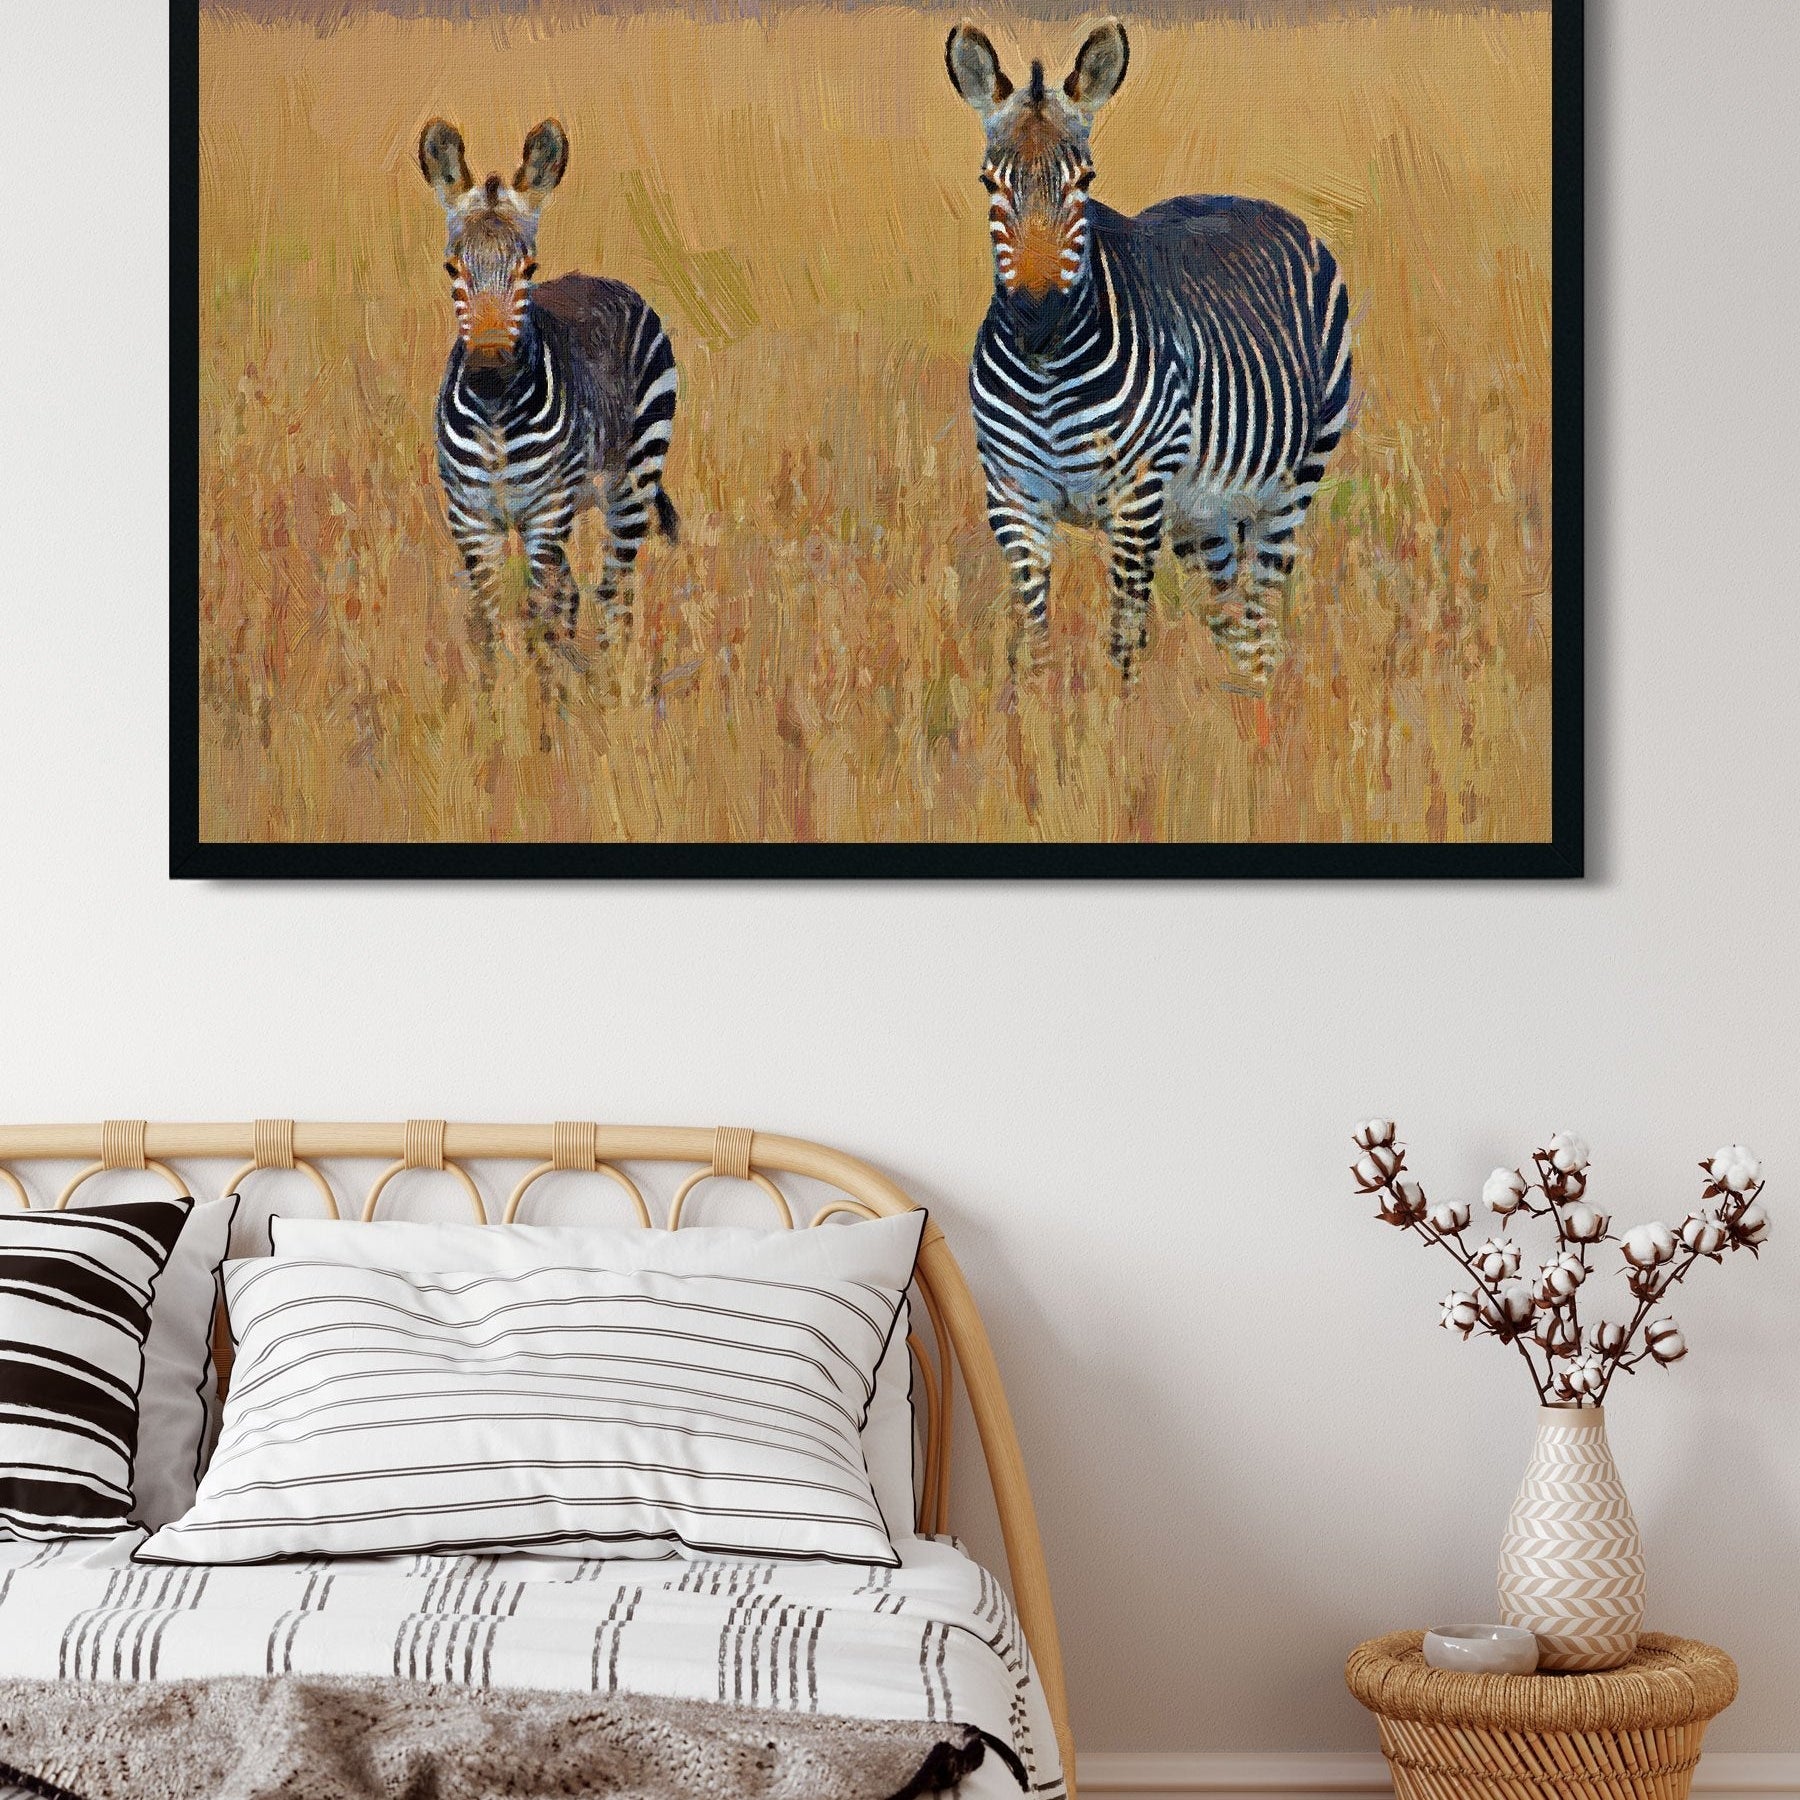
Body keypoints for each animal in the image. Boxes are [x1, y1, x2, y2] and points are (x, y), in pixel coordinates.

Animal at [417, 117, 679, 678]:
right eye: (452, 268)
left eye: (529, 269)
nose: (490, 361)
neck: (494, 414)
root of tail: (596, 276)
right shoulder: (470, 518)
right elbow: (489, 625)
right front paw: (494, 698)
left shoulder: (545, 513)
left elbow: (537, 619)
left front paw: (540, 700)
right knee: (575, 597)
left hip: (632, 483)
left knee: (613, 597)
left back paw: (611, 687)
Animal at [945, 20, 1352, 684]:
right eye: (989, 183)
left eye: (1084, 181)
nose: (1037, 319)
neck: (1047, 375)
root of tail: (1237, 196)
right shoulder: (1013, 499)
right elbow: (1033, 645)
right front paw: (1034, 714)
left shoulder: (1136, 501)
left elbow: (1123, 645)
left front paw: (1114, 717)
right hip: (1200, 511)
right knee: (1228, 613)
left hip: (1293, 482)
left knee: (1261, 618)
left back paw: (1259, 705)